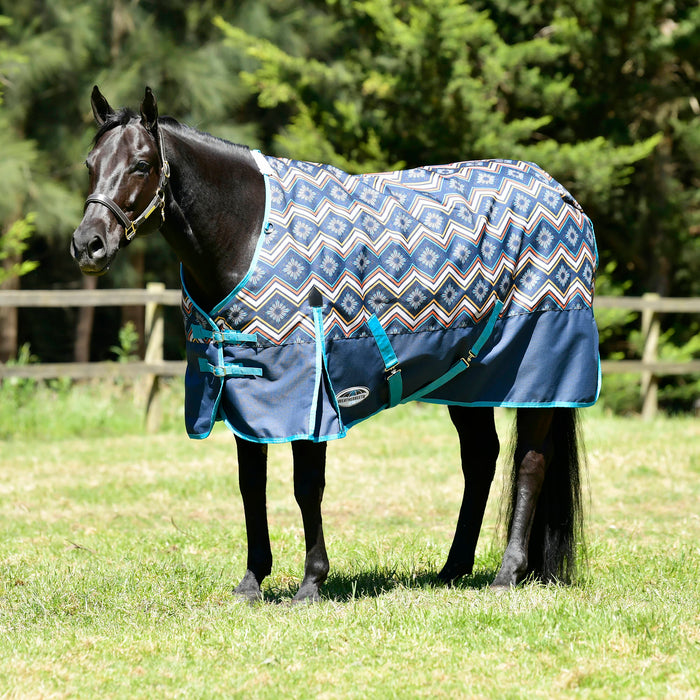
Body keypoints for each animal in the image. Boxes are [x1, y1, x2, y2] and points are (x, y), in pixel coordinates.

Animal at [71, 86, 599, 603]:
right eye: (90, 163)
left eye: (141, 164)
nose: (88, 245)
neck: (247, 232)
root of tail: (562, 196)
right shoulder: (245, 392)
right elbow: (250, 486)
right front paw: (252, 581)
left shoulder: (309, 393)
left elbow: (307, 486)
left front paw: (311, 582)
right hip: (469, 380)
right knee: (481, 460)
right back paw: (453, 569)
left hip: (537, 373)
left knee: (530, 462)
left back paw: (507, 573)